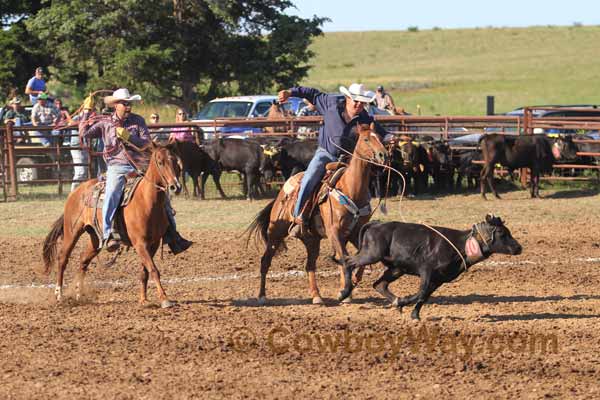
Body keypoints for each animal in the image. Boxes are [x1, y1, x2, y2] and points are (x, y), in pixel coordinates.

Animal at [41, 144, 180, 310]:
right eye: (160, 162)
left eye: (175, 160)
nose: (175, 187)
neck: (146, 201)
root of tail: (76, 192)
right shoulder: (140, 244)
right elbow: (153, 269)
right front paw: (165, 299)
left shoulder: (154, 243)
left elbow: (145, 271)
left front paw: (143, 300)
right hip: (72, 232)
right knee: (62, 258)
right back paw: (59, 295)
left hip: (95, 239)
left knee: (83, 260)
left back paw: (79, 294)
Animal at [246, 122, 386, 304]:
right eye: (366, 139)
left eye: (380, 137)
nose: (383, 154)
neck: (350, 188)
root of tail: (281, 193)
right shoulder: (334, 232)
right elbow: (345, 258)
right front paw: (344, 292)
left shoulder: (354, 234)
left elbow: (361, 257)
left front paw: (353, 283)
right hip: (276, 232)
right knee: (265, 261)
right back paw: (262, 296)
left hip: (312, 239)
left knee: (310, 265)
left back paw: (316, 295)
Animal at [344, 214, 524, 320]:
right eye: (501, 233)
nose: (519, 248)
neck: (460, 246)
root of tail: (376, 224)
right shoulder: (427, 271)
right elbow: (421, 292)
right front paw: (404, 302)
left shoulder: (439, 279)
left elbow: (425, 296)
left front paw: (413, 314)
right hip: (371, 254)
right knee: (348, 262)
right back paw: (344, 292)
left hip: (396, 268)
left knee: (379, 284)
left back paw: (394, 301)